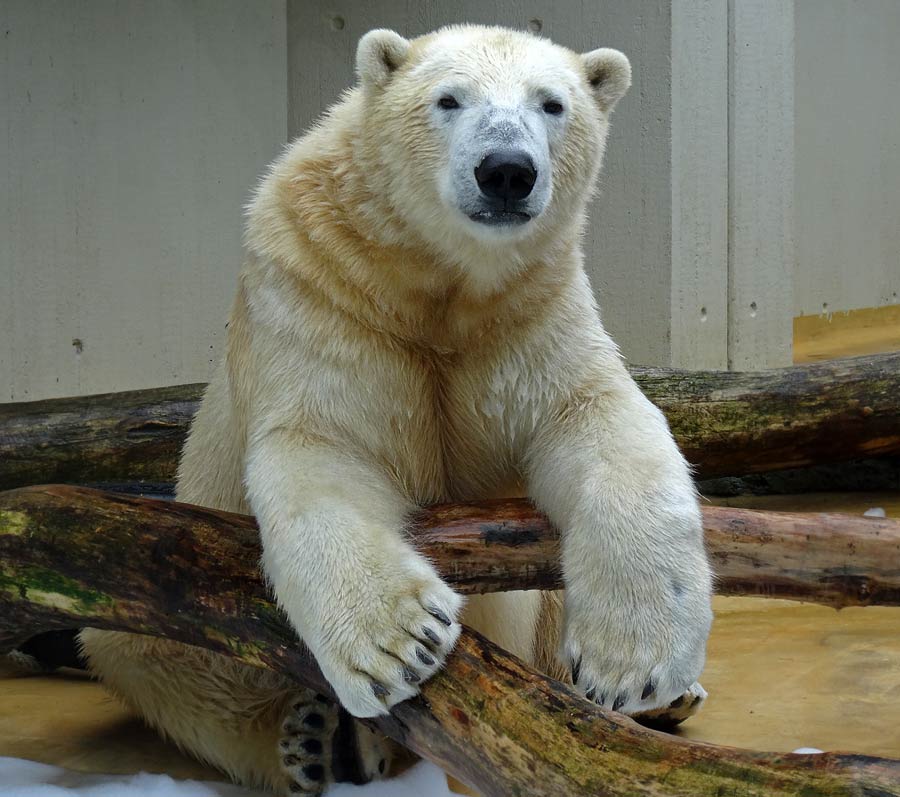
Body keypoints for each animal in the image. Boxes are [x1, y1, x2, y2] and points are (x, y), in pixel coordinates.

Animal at [81, 21, 712, 792]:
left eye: (553, 103)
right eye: (448, 99)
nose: (507, 170)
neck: (434, 281)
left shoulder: (531, 312)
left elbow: (598, 417)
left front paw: (637, 664)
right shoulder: (324, 291)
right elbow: (322, 446)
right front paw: (403, 643)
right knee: (150, 652)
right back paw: (315, 740)